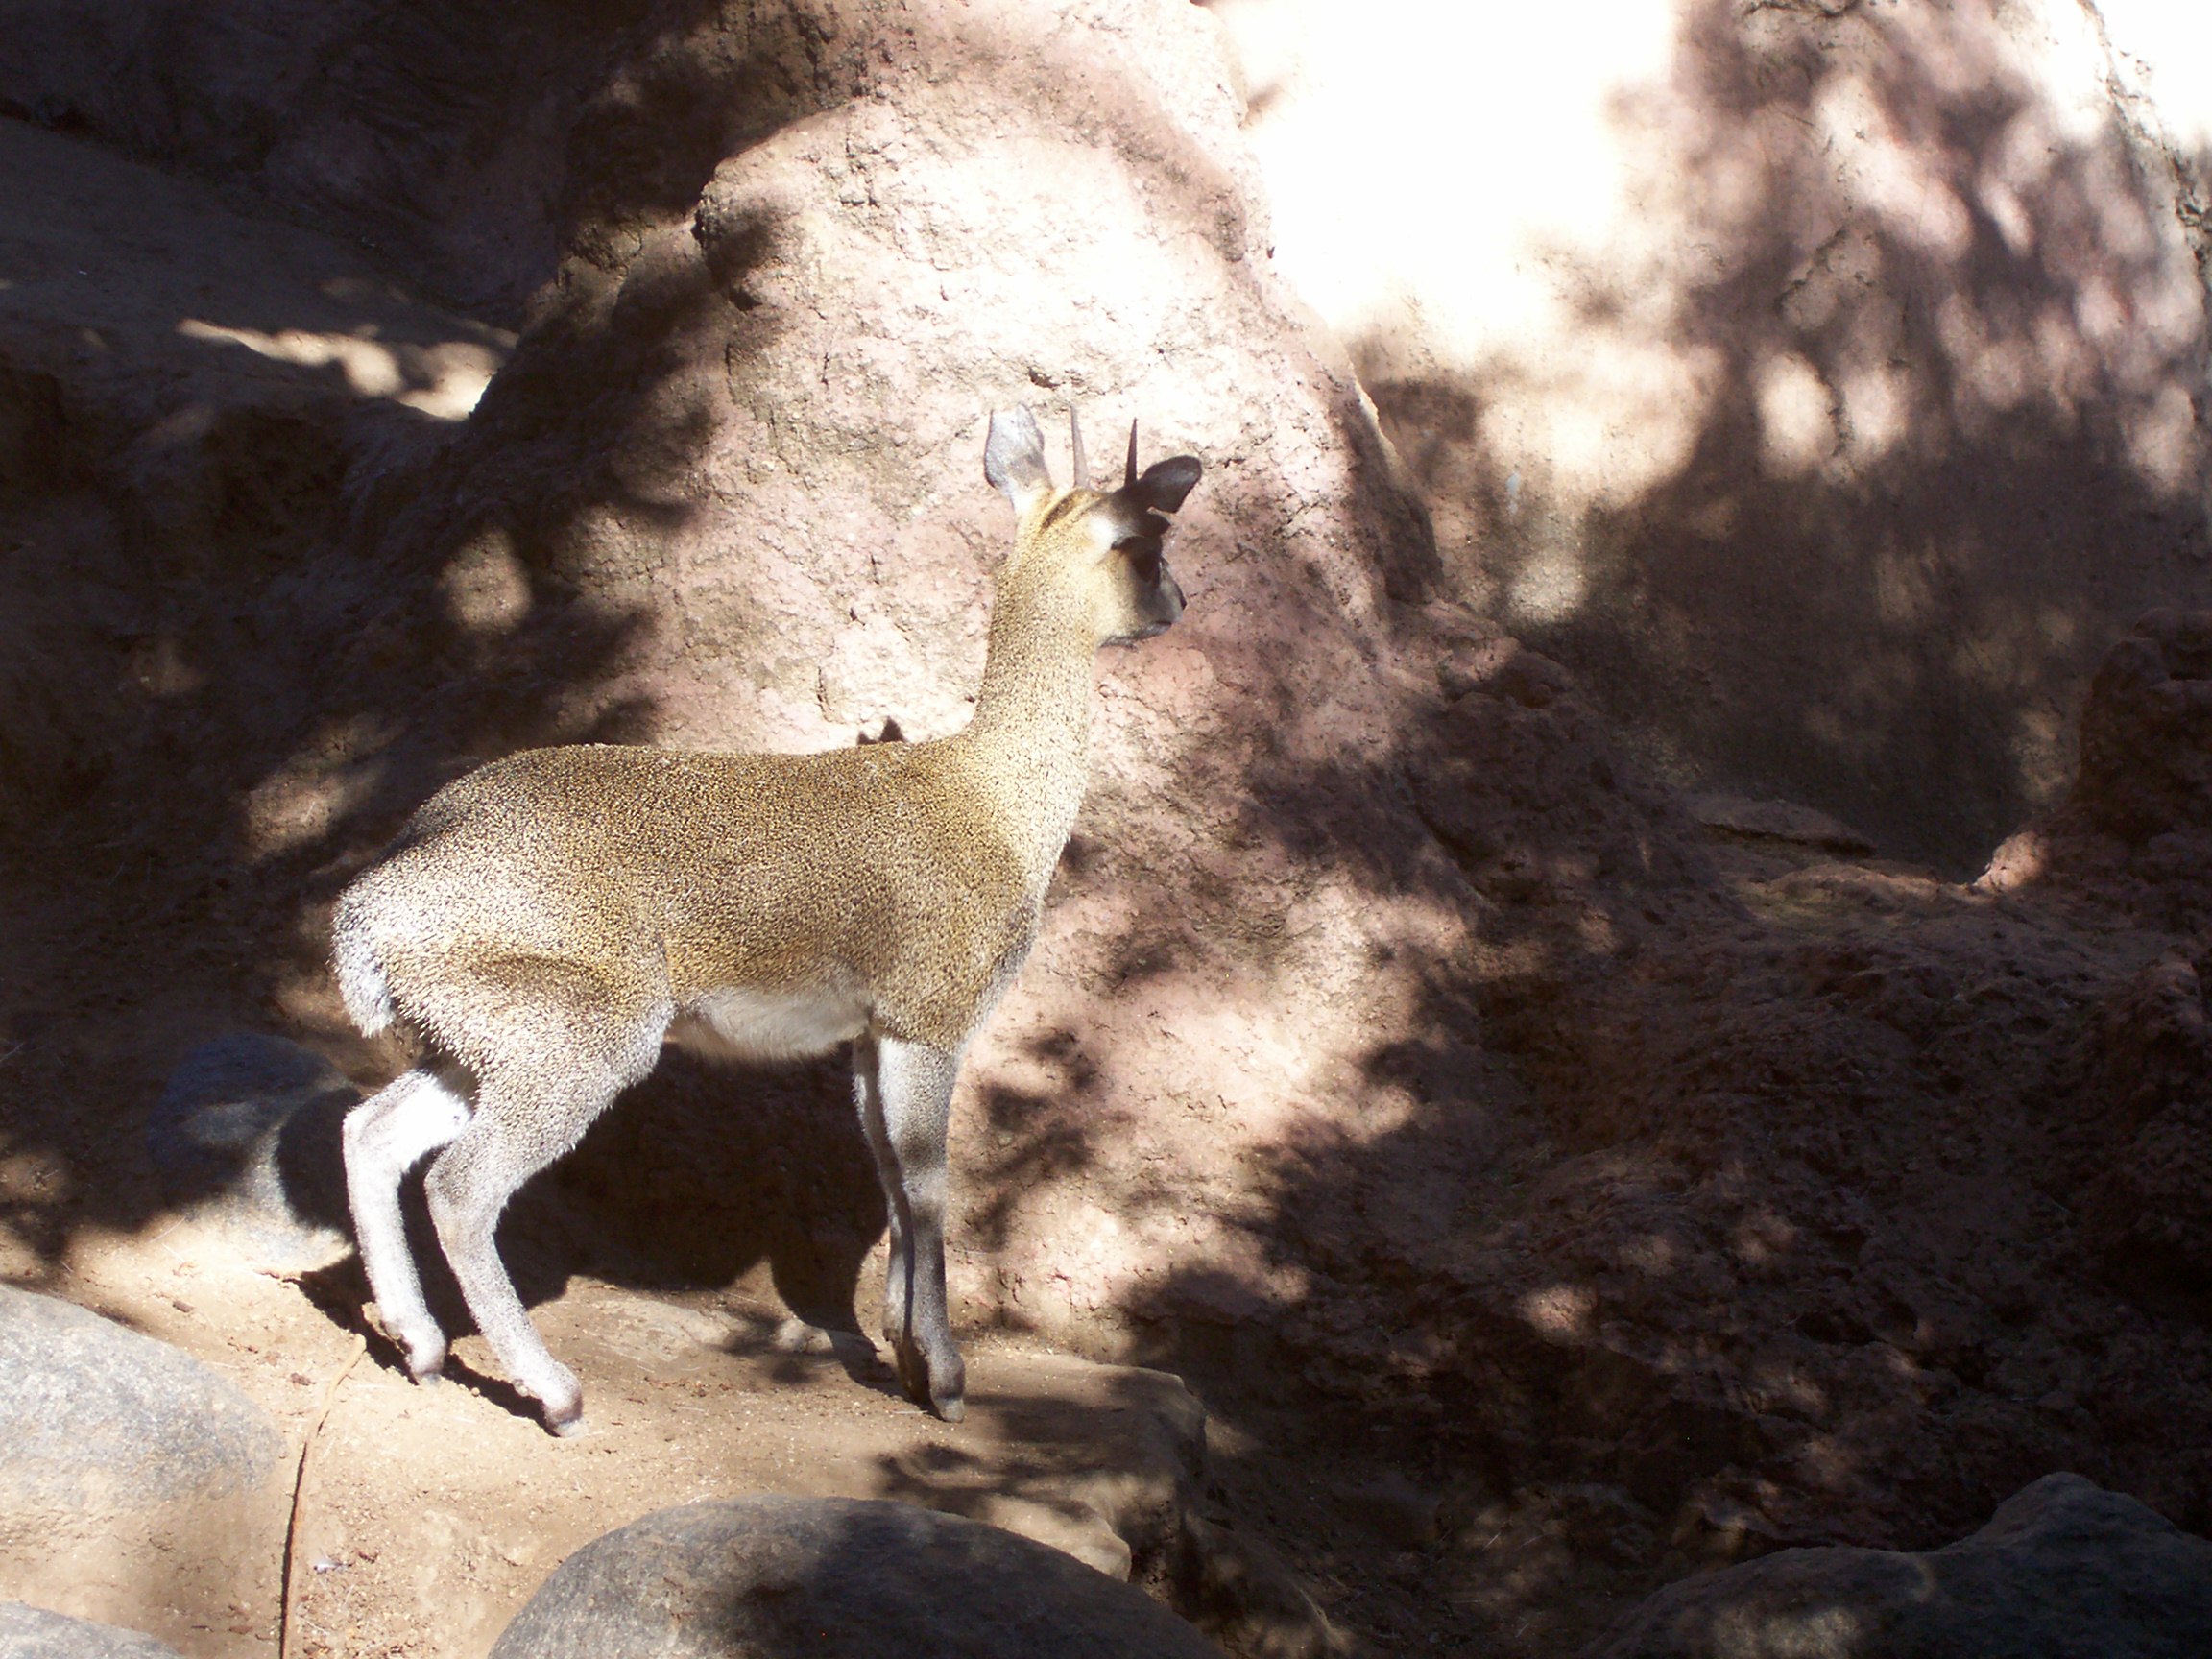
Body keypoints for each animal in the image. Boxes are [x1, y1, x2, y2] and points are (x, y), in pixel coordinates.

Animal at [326, 409, 1203, 1432]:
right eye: (1143, 543)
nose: (1179, 602)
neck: (995, 804)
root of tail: (369, 905)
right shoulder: (931, 1020)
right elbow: (929, 1182)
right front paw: (946, 1378)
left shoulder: (866, 1035)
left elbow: (888, 1176)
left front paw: (903, 1354)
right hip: (584, 1040)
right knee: (461, 1187)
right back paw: (556, 1392)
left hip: (472, 1047)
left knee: (370, 1134)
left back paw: (421, 1347)